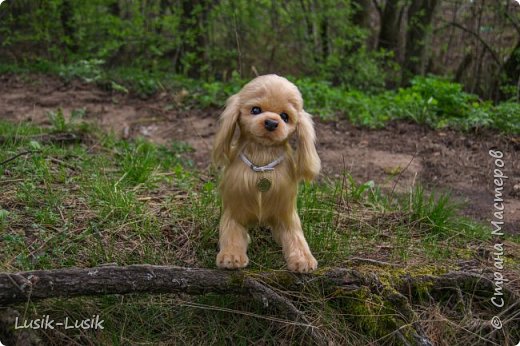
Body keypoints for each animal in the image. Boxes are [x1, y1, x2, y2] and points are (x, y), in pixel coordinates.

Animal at [212, 73, 320, 274]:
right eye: (255, 110)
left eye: (285, 116)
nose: (271, 122)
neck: (262, 157)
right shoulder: (234, 209)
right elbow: (232, 233)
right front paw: (231, 255)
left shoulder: (286, 213)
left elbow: (296, 237)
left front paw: (303, 258)